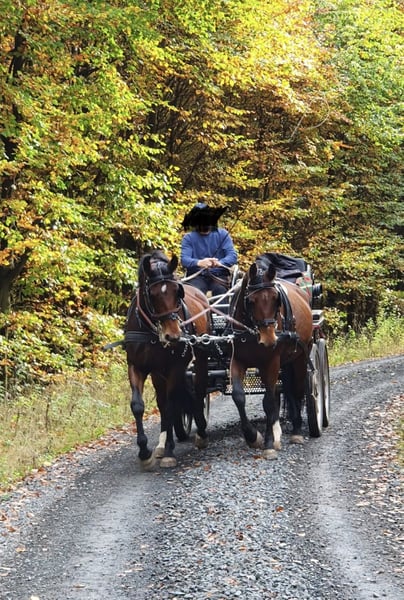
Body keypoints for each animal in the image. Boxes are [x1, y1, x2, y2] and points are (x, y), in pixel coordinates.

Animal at [125, 250, 210, 468]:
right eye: (152, 294)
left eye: (176, 292)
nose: (173, 335)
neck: (152, 331)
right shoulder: (136, 366)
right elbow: (138, 405)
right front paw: (145, 451)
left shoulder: (176, 367)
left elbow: (173, 404)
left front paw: (170, 451)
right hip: (157, 373)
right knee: (162, 402)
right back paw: (161, 444)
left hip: (201, 358)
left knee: (198, 390)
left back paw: (201, 431)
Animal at [229, 253, 313, 459]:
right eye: (251, 301)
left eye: (276, 299)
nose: (269, 339)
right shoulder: (238, 360)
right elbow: (239, 396)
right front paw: (253, 437)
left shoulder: (271, 361)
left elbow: (267, 402)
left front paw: (267, 444)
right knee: (283, 390)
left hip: (300, 357)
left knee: (296, 391)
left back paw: (297, 431)